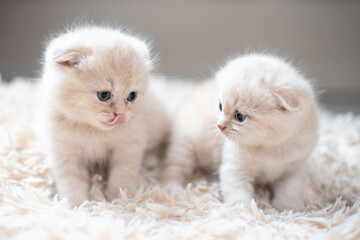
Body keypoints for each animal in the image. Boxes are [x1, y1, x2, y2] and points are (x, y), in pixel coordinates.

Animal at [41, 26, 168, 206]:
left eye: (132, 96)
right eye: (103, 95)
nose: (121, 115)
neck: (93, 131)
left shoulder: (129, 145)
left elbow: (122, 175)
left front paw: (119, 199)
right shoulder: (64, 152)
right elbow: (71, 182)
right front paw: (77, 205)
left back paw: (150, 160)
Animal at [217, 54, 318, 210]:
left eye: (240, 116)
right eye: (220, 106)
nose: (219, 126)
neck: (271, 147)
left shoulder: (295, 168)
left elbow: (290, 189)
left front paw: (287, 207)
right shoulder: (235, 166)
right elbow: (237, 189)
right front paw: (243, 208)